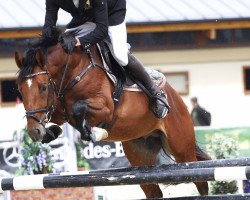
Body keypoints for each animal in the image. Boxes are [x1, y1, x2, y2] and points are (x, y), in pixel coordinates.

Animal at [15, 31, 211, 198]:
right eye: (20, 91)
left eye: (43, 87)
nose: (34, 132)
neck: (74, 71)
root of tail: (177, 98)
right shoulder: (58, 110)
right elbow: (56, 115)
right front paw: (50, 132)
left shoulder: (106, 108)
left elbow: (79, 108)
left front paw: (94, 132)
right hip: (140, 155)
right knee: (153, 190)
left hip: (182, 149)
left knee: (201, 181)